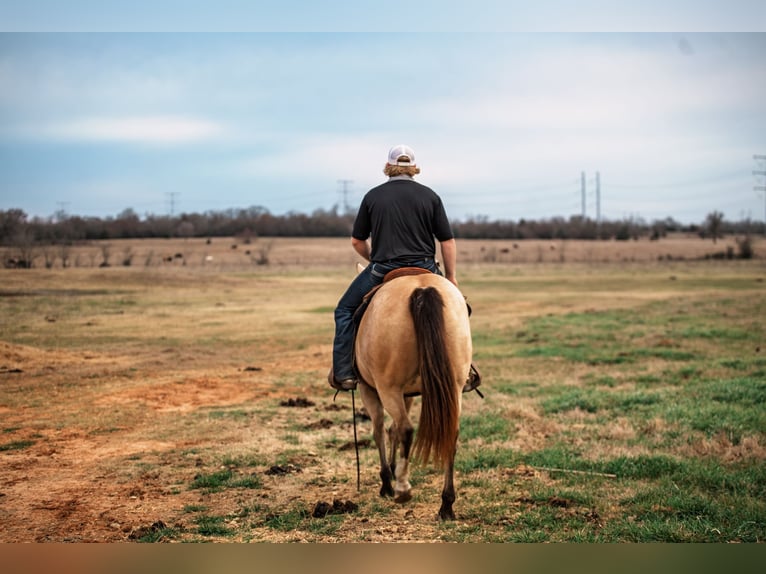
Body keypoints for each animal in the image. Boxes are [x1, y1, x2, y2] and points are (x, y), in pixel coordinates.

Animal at [353, 271, 473, 520]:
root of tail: (422, 289)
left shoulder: (369, 389)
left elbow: (380, 431)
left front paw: (386, 481)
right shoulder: (407, 393)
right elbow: (392, 430)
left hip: (387, 387)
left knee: (406, 429)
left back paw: (401, 489)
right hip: (454, 386)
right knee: (450, 434)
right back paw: (446, 505)